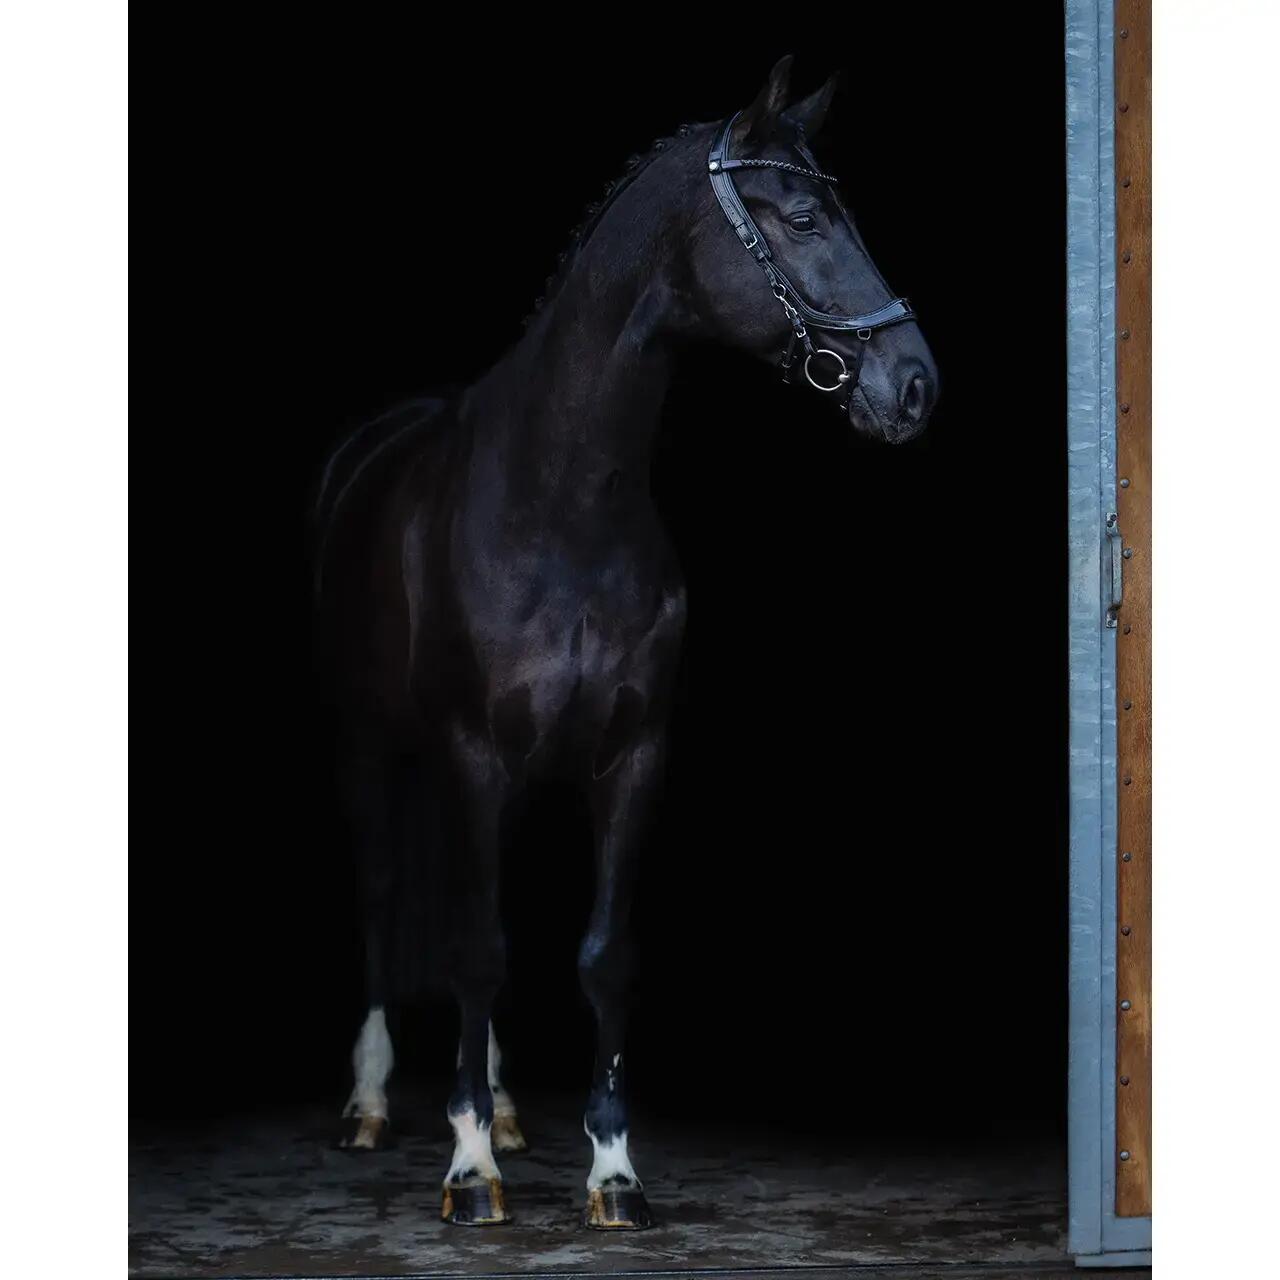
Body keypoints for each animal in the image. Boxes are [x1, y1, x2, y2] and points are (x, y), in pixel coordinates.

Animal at [312, 55, 938, 1230]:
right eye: (801, 217)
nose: (914, 383)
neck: (564, 502)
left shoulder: (632, 754)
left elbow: (600, 957)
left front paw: (610, 1169)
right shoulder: (469, 754)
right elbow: (474, 949)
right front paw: (470, 1169)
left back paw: (505, 1104)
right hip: (372, 743)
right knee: (383, 897)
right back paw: (373, 1105)